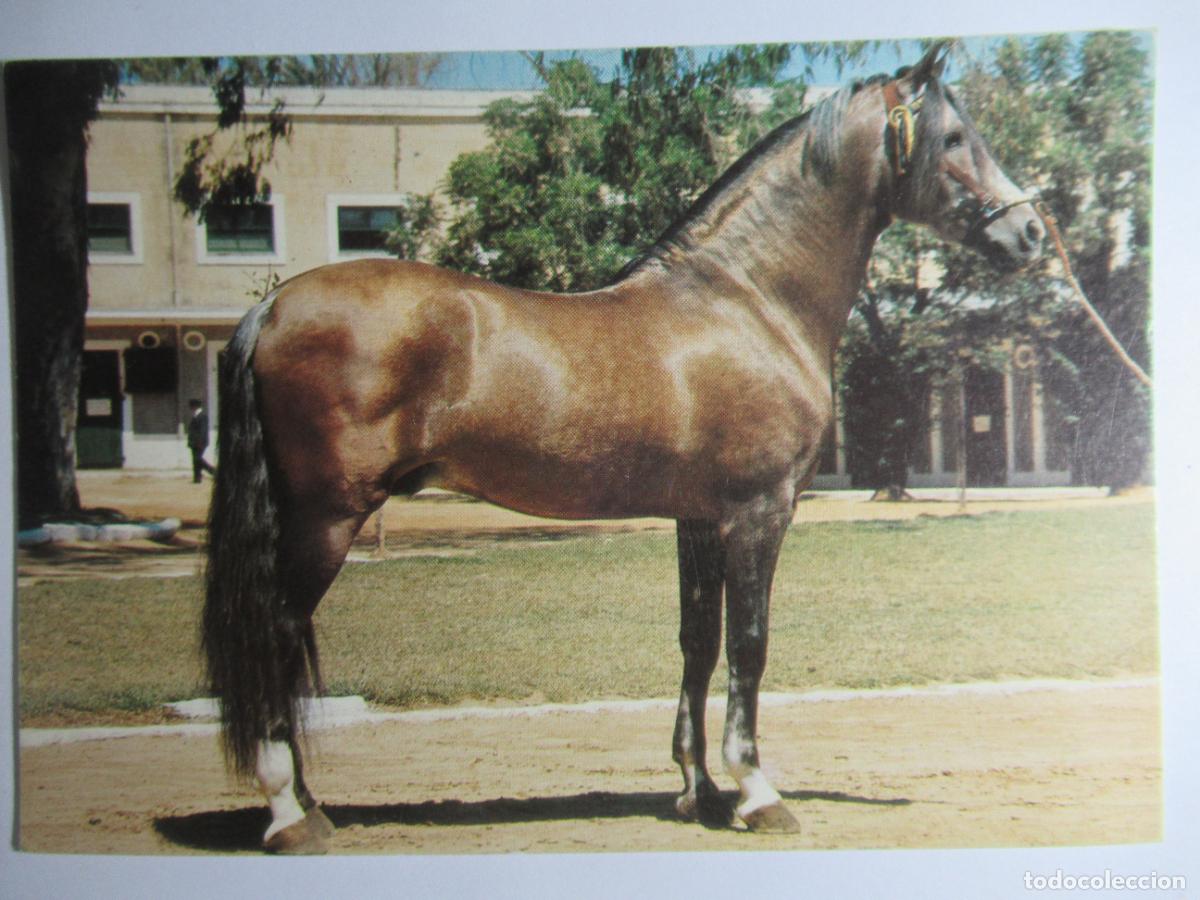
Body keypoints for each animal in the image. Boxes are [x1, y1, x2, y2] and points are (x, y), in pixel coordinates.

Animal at [202, 43, 1044, 853]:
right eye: (956, 138)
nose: (1031, 232)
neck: (748, 302)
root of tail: (272, 308)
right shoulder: (760, 512)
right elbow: (749, 644)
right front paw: (757, 792)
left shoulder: (699, 520)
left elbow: (697, 643)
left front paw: (699, 791)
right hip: (326, 517)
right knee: (275, 636)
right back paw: (290, 814)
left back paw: (309, 803)